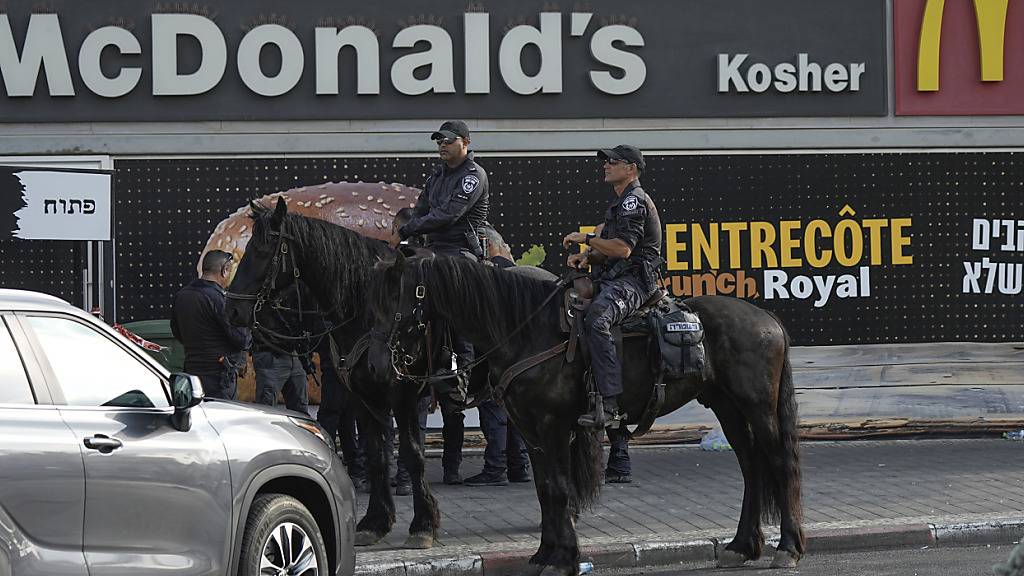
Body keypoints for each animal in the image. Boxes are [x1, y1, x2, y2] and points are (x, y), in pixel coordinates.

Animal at [226, 196, 442, 545]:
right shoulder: (364, 397)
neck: (369, 308)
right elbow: (376, 455)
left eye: (263, 249)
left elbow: (412, 453)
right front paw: (375, 521)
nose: (232, 309)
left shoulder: (403, 395)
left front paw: (423, 524)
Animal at [368, 252, 806, 573]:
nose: (380, 362)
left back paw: (788, 547)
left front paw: (566, 557)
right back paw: (742, 545)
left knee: (780, 463)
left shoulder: (553, 427)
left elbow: (561, 489)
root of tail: (769, 320)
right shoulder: (531, 431)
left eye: (401, 301)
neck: (527, 330)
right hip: (727, 406)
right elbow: (546, 490)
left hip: (757, 407)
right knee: (751, 466)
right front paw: (546, 553)